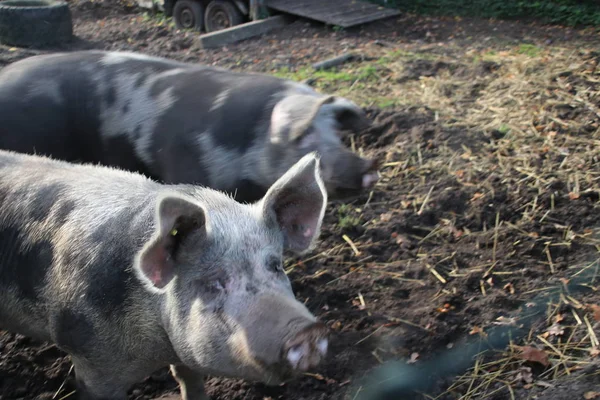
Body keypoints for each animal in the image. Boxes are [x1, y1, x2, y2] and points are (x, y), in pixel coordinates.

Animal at [0, 148, 328, 398]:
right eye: (214, 282)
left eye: (276, 265)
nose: (305, 329)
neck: (157, 348)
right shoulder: (89, 360)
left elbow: (189, 379)